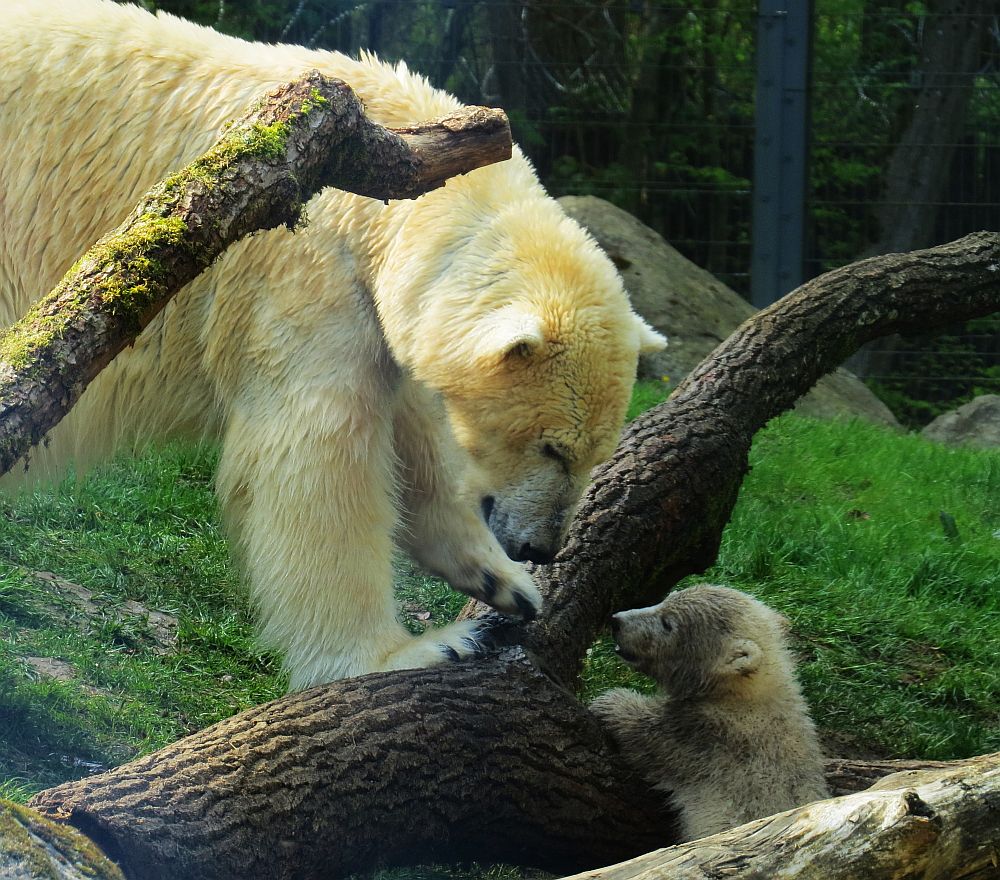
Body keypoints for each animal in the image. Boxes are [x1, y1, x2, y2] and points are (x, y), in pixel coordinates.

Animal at [0, 0, 664, 688]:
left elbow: (418, 428)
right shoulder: (303, 263)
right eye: (553, 447)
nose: (541, 547)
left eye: (596, 453)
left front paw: (503, 583)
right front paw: (413, 650)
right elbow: (318, 446)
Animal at [584, 584, 828, 840]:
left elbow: (648, 734)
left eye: (668, 623)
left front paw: (609, 702)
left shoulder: (705, 735)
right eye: (666, 599)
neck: (746, 695)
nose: (616, 621)